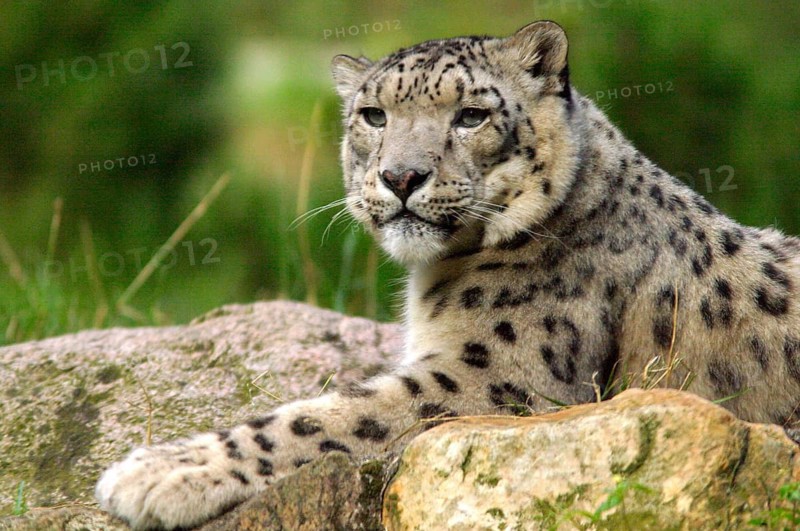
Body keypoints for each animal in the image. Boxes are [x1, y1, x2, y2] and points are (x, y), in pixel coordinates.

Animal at [96, 20, 800, 529]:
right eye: (373, 115)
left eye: (471, 115)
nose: (401, 176)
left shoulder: (497, 378)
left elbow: (326, 417)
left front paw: (158, 471)